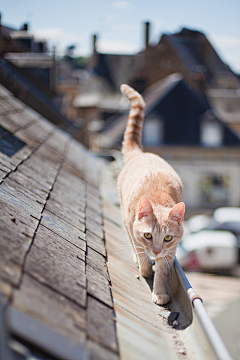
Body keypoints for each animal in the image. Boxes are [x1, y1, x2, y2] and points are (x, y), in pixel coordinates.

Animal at [117, 83, 185, 304]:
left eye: (167, 238)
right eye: (148, 235)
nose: (155, 250)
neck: (158, 200)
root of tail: (141, 154)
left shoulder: (169, 252)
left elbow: (162, 272)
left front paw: (160, 292)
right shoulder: (133, 229)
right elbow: (141, 252)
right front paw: (145, 269)